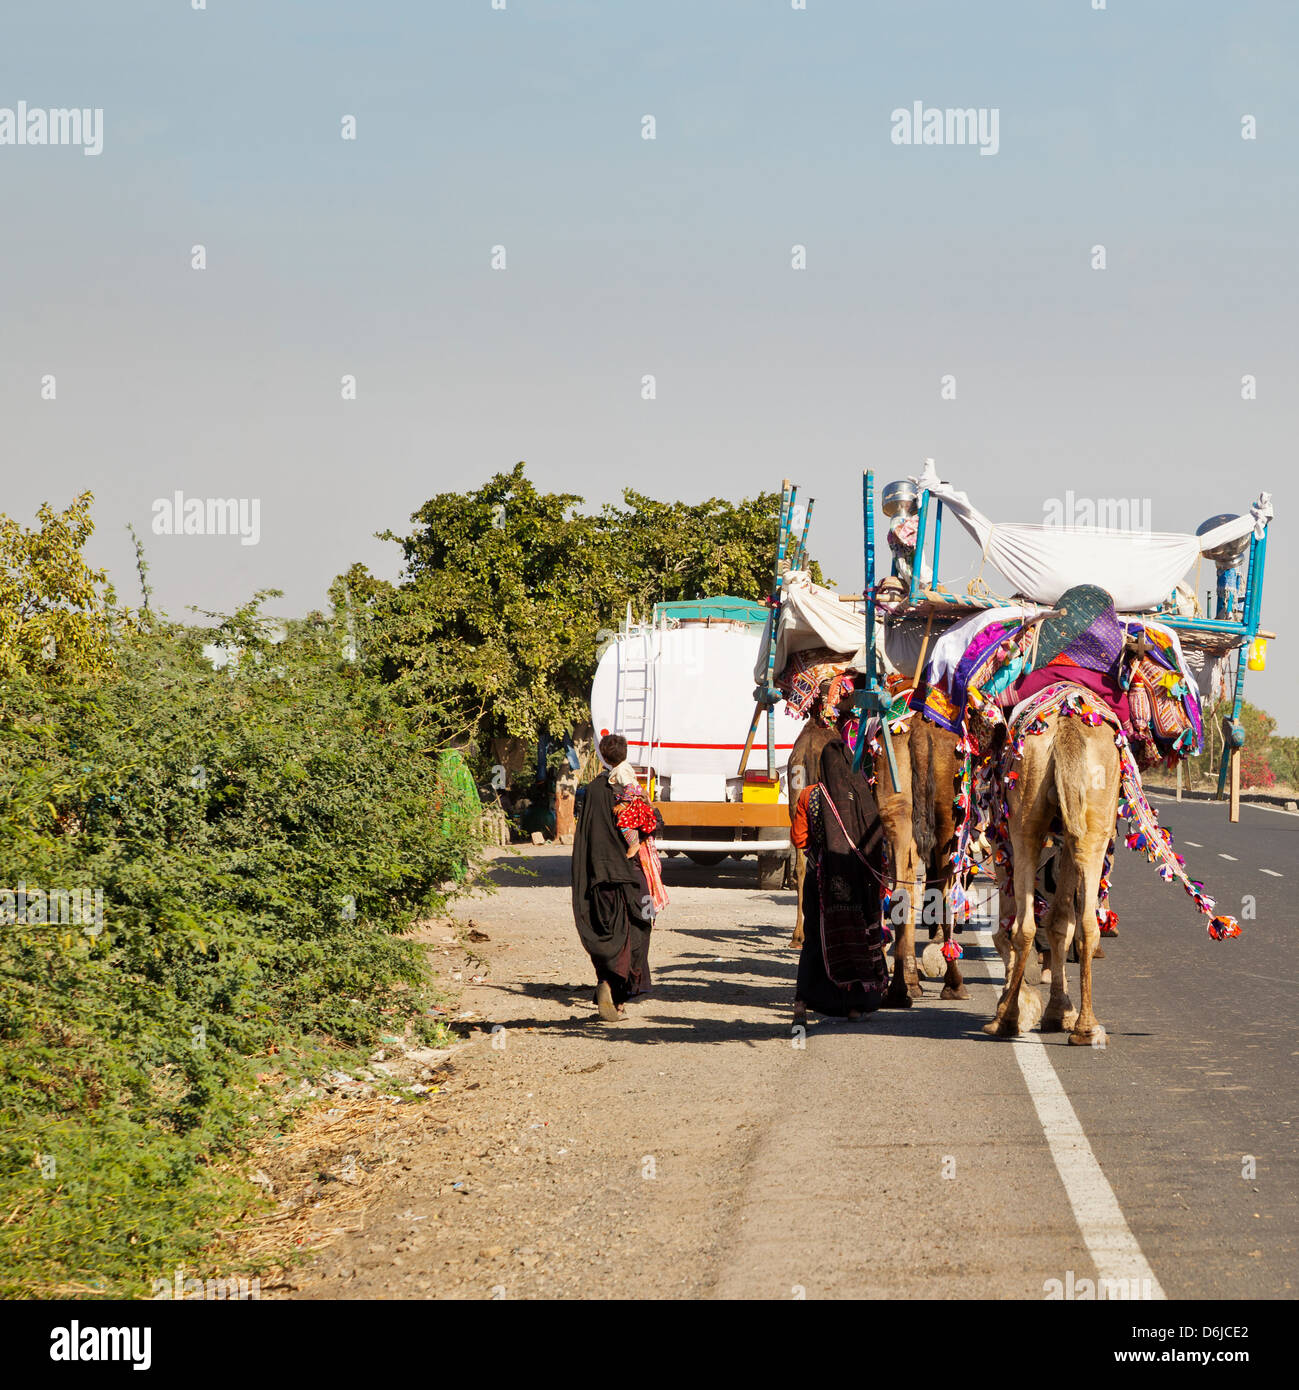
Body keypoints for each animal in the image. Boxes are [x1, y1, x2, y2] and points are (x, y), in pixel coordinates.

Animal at [983, 706, 1117, 1045]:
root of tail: (1068, 726)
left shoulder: (1000, 834)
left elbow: (1007, 927)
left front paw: (1008, 1005)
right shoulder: (1067, 840)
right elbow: (1060, 923)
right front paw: (1061, 1012)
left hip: (1024, 821)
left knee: (1024, 926)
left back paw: (1006, 1020)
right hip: (1094, 824)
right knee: (1087, 924)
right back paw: (1085, 1028)